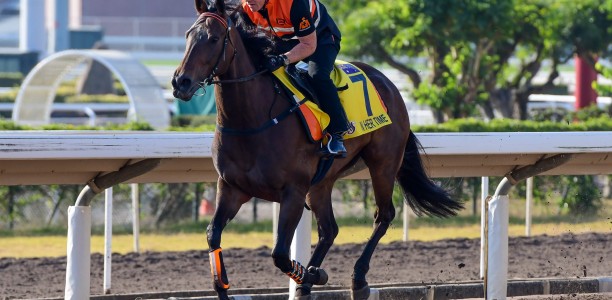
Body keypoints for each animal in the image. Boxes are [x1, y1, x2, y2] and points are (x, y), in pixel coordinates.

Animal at [172, 1, 464, 298]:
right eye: (188, 35)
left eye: (213, 38)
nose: (180, 82)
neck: (252, 122)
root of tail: (388, 83)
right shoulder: (231, 188)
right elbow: (213, 236)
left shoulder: (293, 191)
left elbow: (279, 254)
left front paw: (314, 274)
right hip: (322, 182)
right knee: (329, 229)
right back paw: (309, 281)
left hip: (383, 163)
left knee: (383, 216)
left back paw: (356, 279)